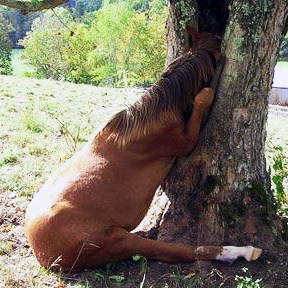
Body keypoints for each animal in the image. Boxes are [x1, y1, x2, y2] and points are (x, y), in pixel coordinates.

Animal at [25, 28, 262, 272]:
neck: (159, 111)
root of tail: (42, 254)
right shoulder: (186, 140)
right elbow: (204, 97)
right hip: (119, 240)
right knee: (178, 250)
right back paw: (240, 251)